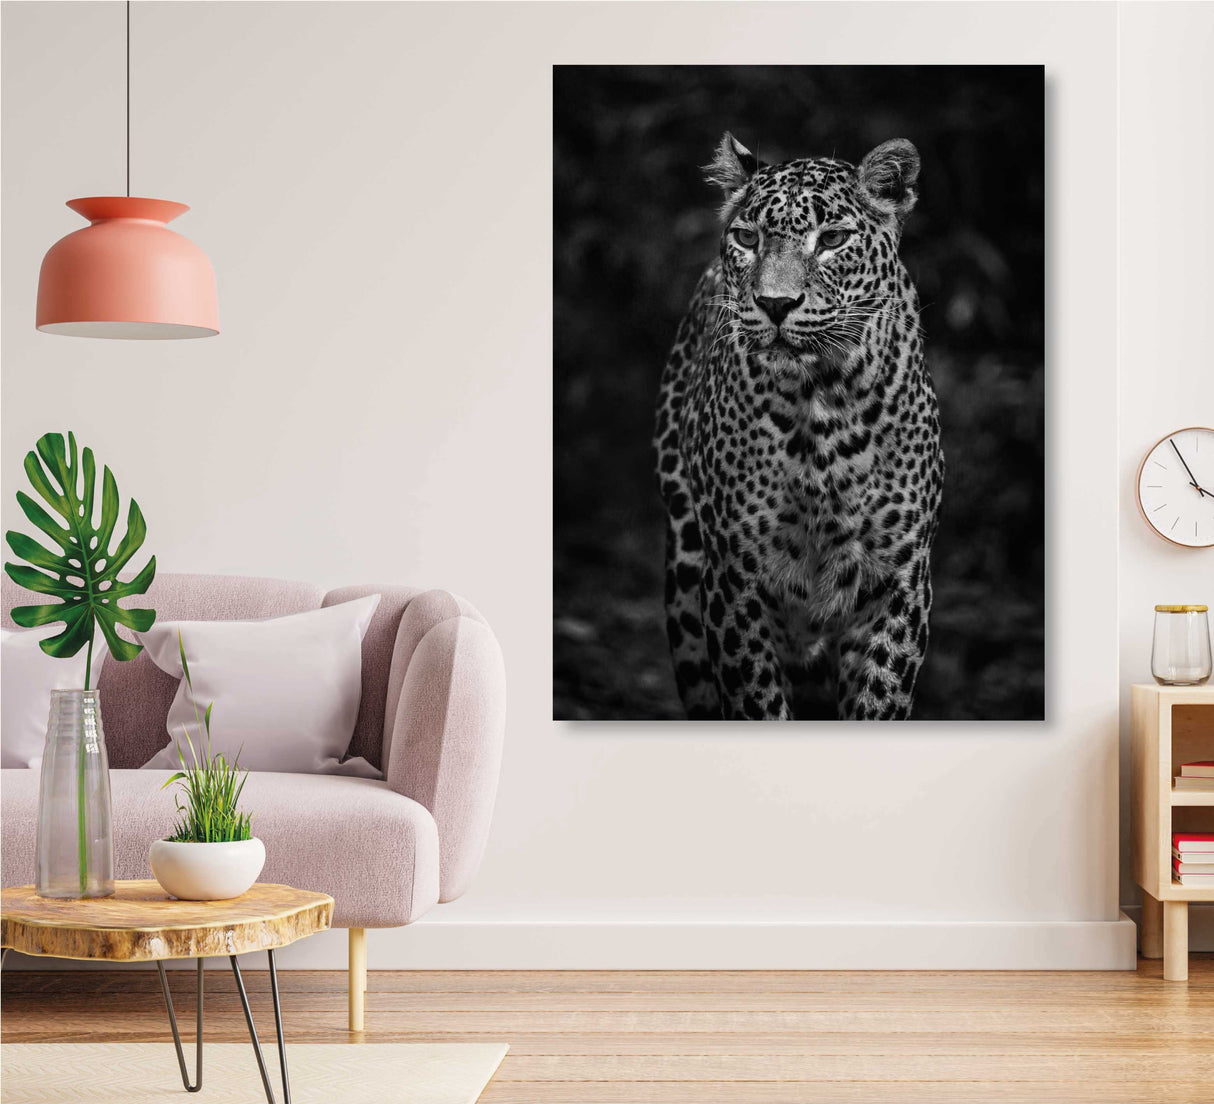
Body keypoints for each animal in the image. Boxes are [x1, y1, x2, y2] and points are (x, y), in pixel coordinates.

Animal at [654, 132, 944, 721]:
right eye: (747, 237)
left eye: (831, 239)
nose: (775, 304)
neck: (821, 400)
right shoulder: (734, 583)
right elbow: (757, 702)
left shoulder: (899, 583)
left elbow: (878, 699)